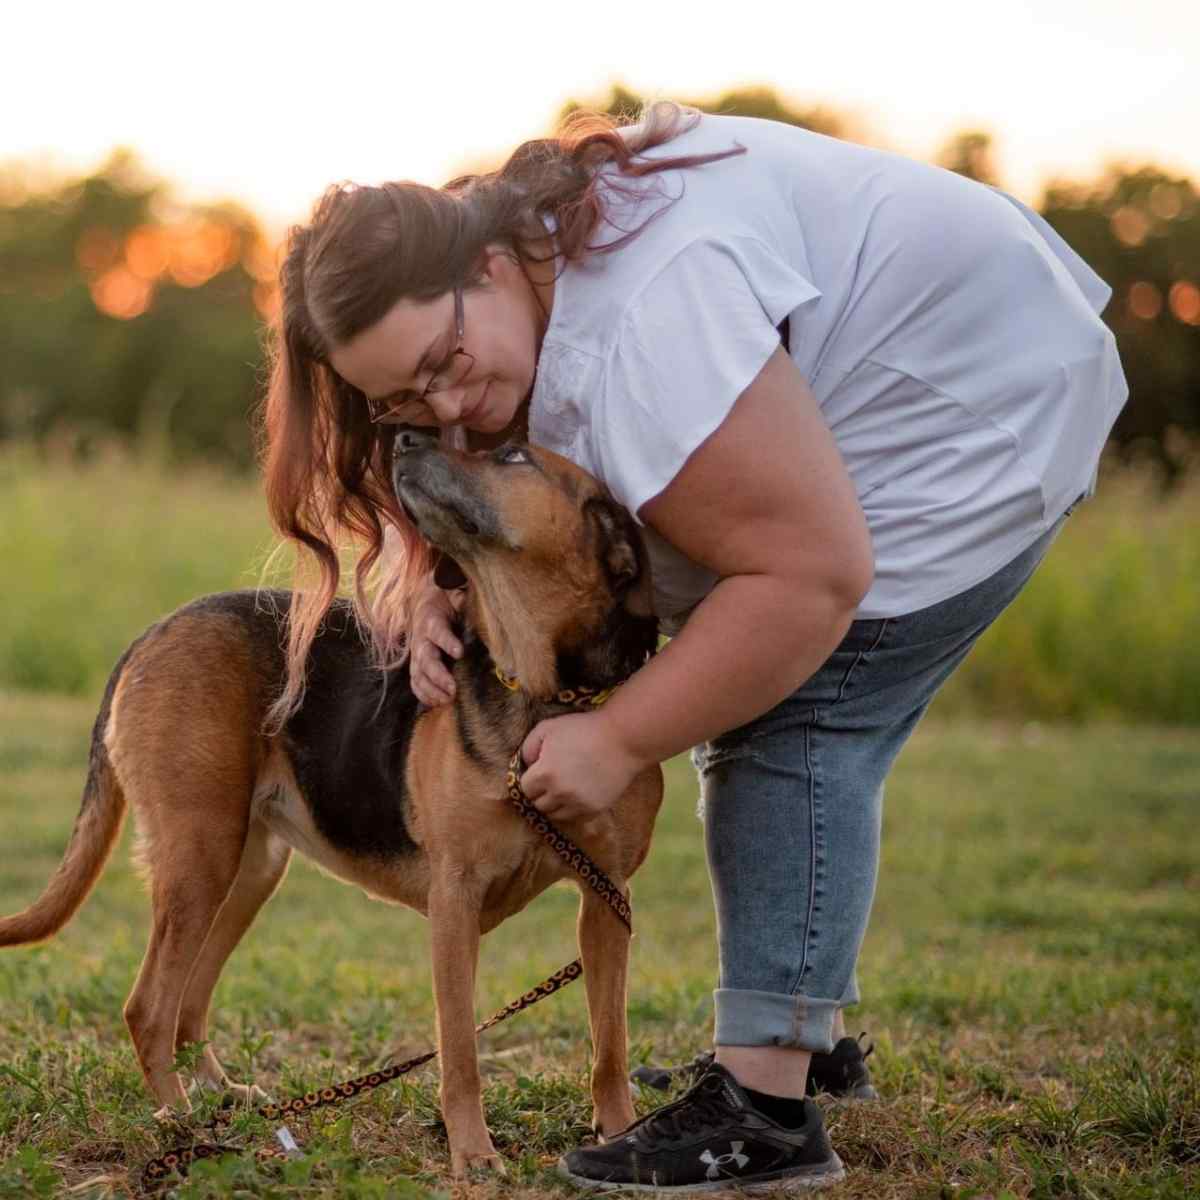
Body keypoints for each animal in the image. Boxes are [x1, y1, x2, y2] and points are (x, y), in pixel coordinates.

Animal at [0, 432, 667, 1171]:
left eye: (515, 457)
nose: (404, 436)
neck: (541, 693)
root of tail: (153, 631)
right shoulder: (455, 903)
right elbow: (460, 1053)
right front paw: (473, 1155)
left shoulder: (607, 897)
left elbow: (610, 1046)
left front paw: (622, 1133)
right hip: (201, 857)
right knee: (148, 1007)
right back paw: (181, 1121)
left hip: (249, 869)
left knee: (188, 1003)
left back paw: (223, 1098)